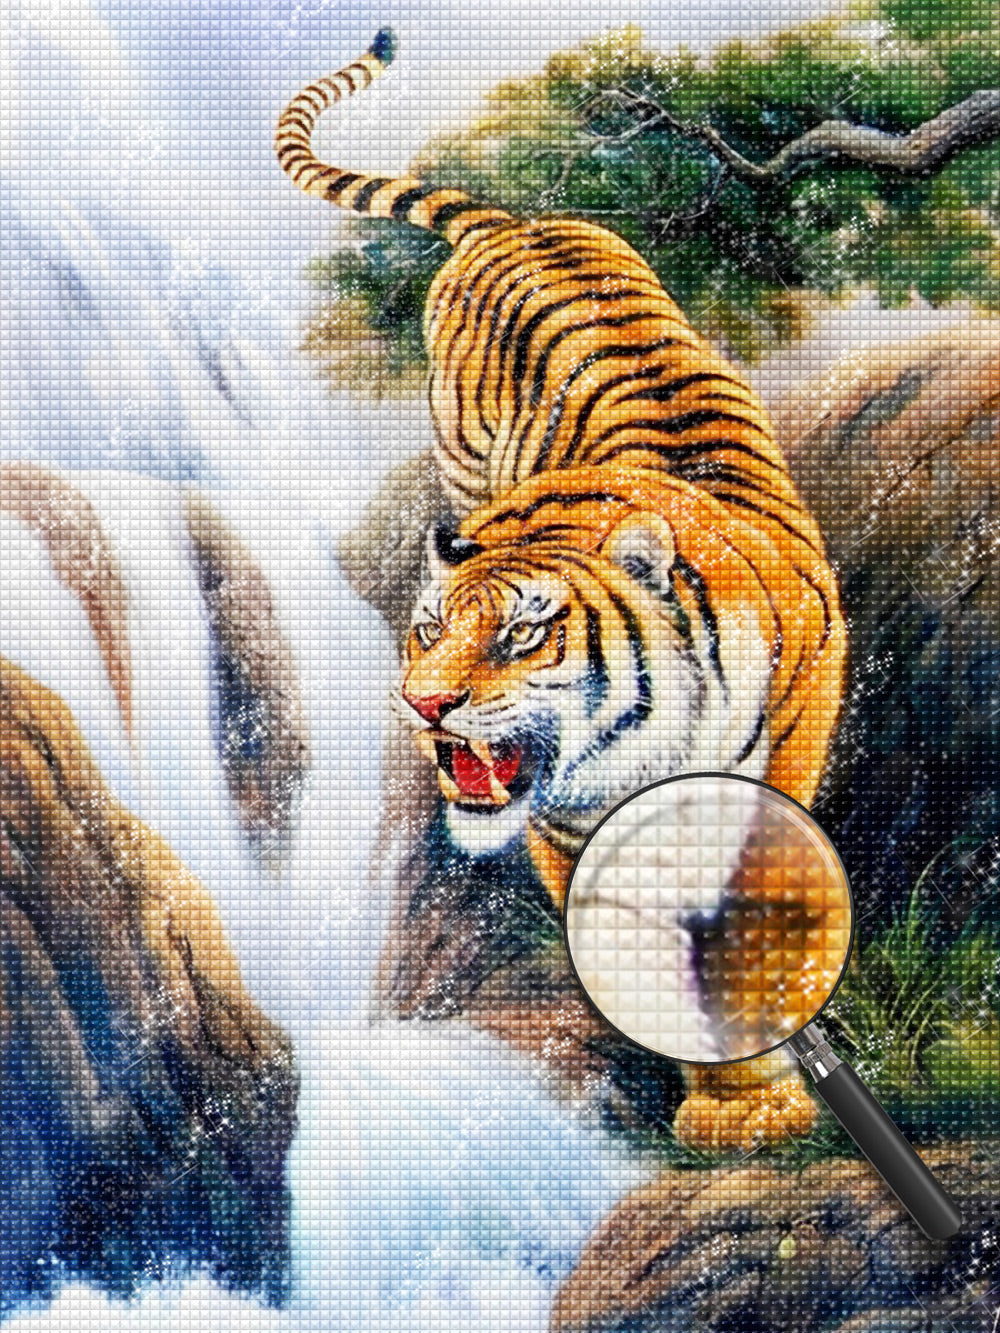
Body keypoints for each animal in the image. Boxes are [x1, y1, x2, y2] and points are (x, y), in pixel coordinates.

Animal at [275, 30, 848, 1151]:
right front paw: (730, 1101)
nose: (423, 708)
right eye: (425, 633)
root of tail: (517, 219)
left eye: (522, 635)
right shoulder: (569, 825)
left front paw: (754, 1102)